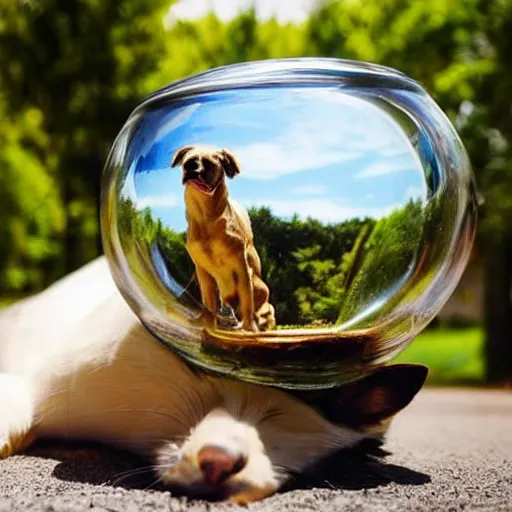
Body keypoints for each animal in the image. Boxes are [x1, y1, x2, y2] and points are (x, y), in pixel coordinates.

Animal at [171, 144, 276, 332]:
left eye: (209, 163)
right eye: (187, 161)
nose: (190, 165)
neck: (206, 218)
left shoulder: (242, 267)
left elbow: (247, 302)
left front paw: (248, 327)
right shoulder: (202, 272)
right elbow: (209, 304)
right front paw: (208, 324)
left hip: (260, 288)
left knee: (260, 309)